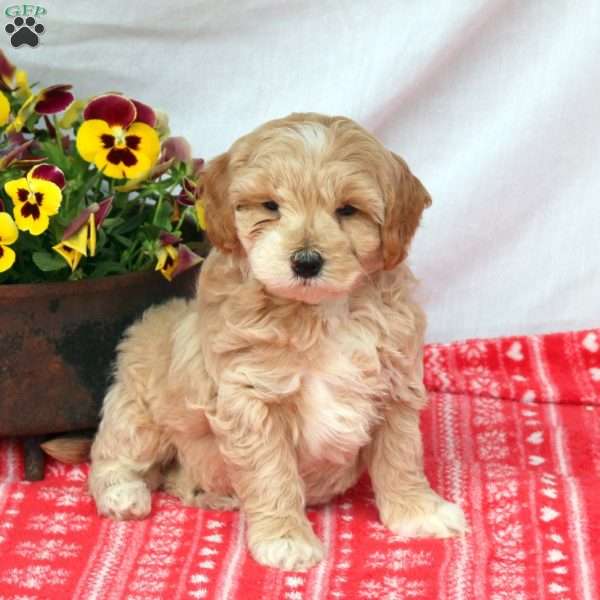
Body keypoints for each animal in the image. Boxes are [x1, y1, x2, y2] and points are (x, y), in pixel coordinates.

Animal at [86, 113, 466, 572]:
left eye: (347, 210)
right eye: (270, 206)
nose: (306, 261)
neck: (320, 313)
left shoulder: (395, 386)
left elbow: (401, 456)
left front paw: (418, 511)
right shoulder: (252, 399)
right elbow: (272, 475)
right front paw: (286, 539)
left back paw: (204, 491)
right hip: (139, 411)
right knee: (112, 456)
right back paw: (124, 493)